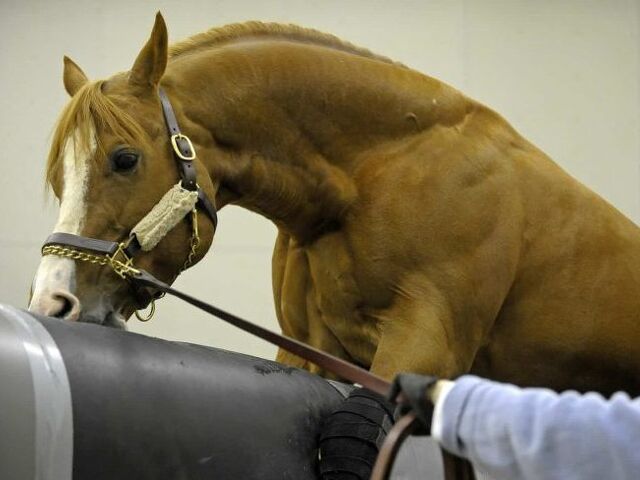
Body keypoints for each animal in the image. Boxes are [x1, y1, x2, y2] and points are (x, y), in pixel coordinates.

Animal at [29, 9, 640, 432]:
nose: (53, 303)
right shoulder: (310, 350)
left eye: (124, 158)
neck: (373, 177)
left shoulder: (426, 346)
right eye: (59, 177)